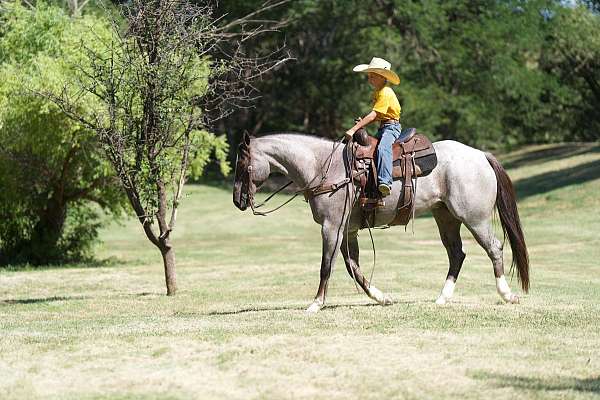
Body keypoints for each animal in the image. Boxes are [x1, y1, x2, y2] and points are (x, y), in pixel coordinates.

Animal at [232, 131, 528, 312]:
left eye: (242, 165)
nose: (237, 200)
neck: (322, 167)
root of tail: (480, 155)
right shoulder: (347, 231)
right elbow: (353, 268)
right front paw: (381, 297)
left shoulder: (331, 227)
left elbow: (326, 266)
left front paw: (315, 304)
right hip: (446, 217)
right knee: (457, 254)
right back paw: (442, 298)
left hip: (474, 218)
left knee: (494, 248)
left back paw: (507, 294)